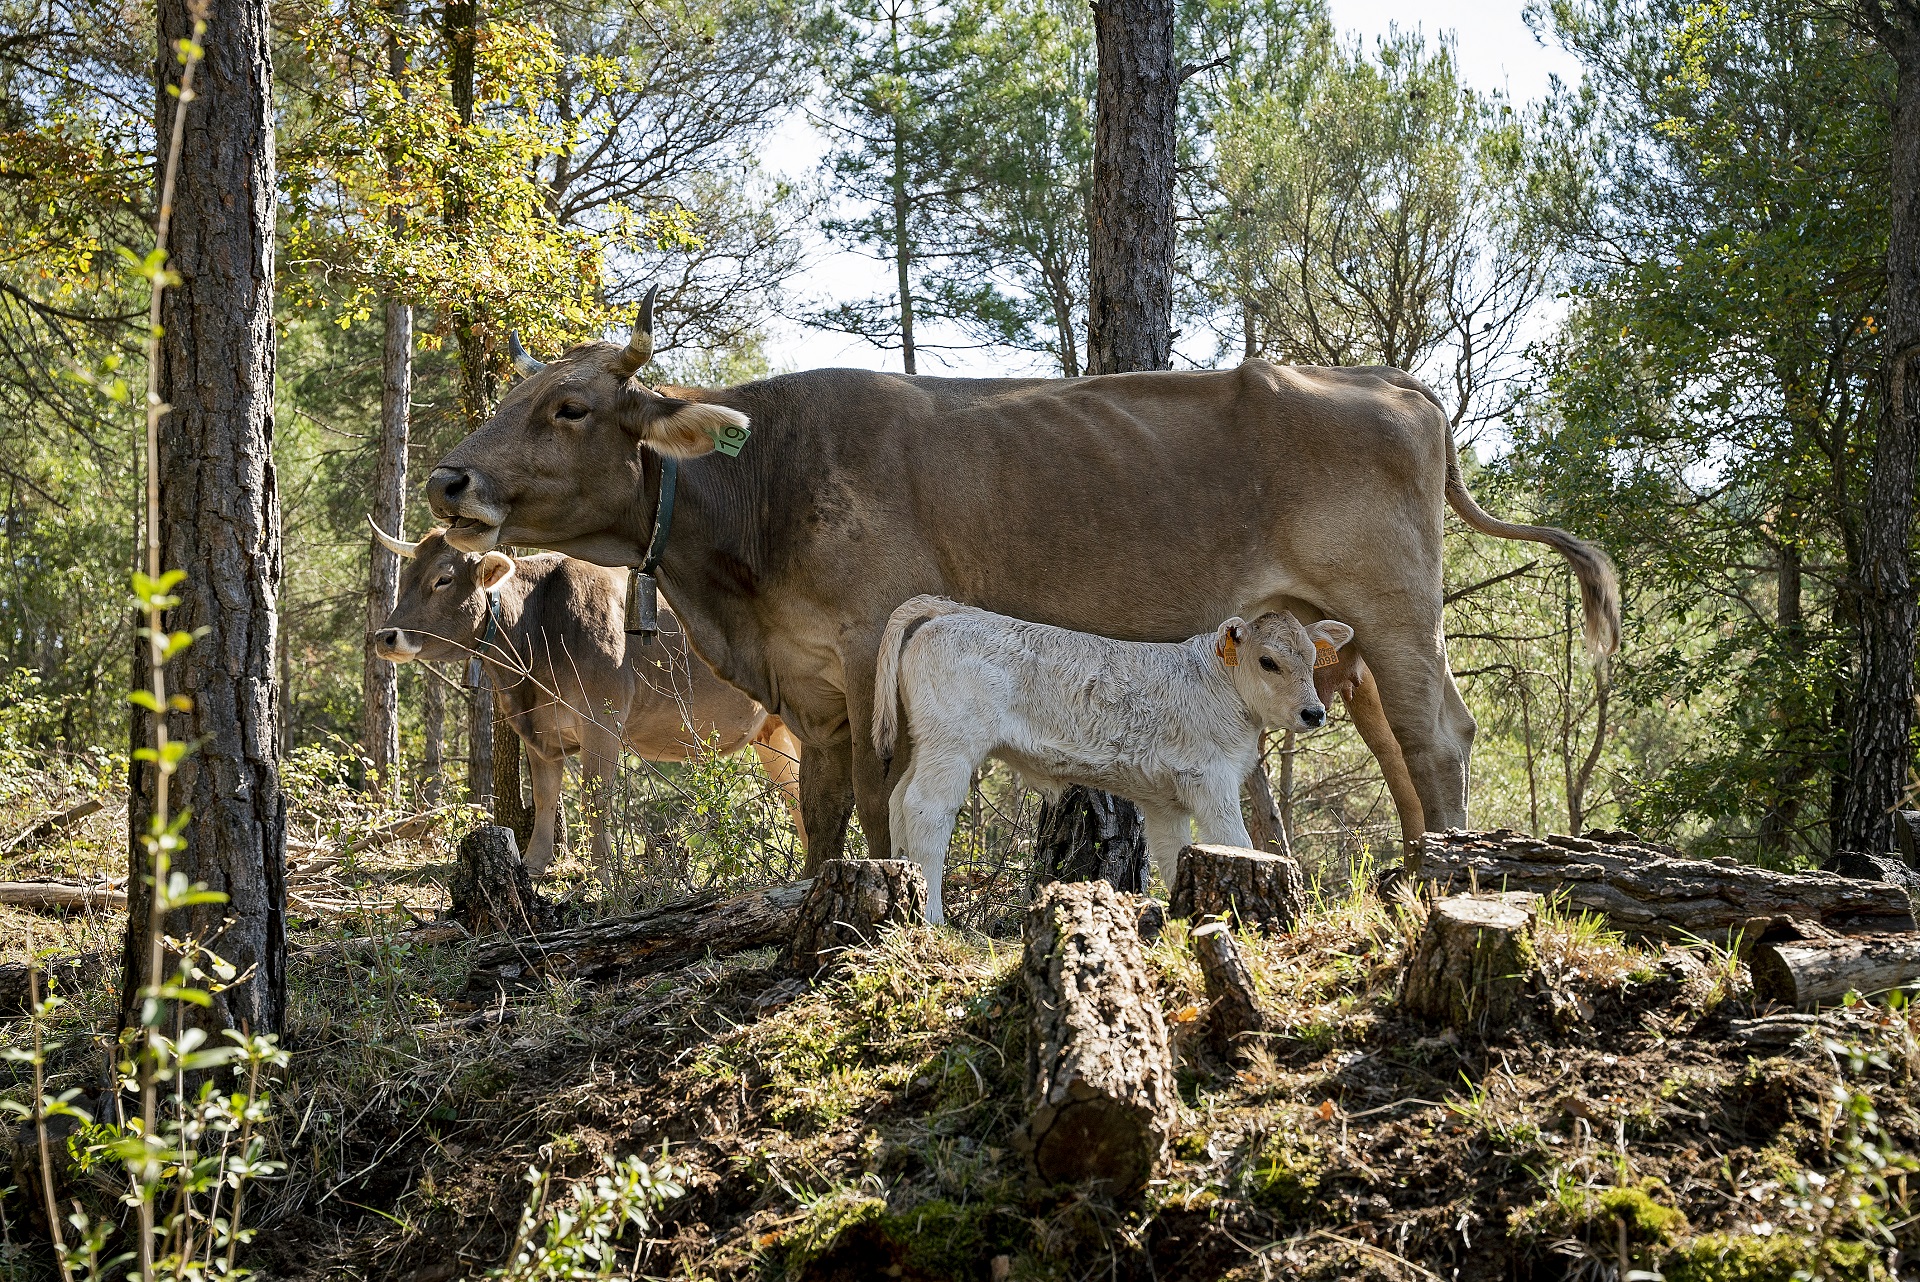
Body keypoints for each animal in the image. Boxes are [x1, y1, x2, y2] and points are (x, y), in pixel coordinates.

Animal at [428, 301, 1612, 871]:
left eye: (571, 406)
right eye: (508, 396)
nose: (448, 477)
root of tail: (1388, 379)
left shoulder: (871, 648)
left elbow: (875, 800)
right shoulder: (808, 688)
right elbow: (819, 809)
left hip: (1397, 609)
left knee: (1437, 734)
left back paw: (1448, 869)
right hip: (1346, 637)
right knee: (1390, 737)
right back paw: (1412, 868)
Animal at [871, 594, 1351, 925]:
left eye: (1312, 659)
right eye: (1268, 661)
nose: (1314, 713)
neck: (1220, 685)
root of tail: (951, 611)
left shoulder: (1165, 802)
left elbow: (1173, 856)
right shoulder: (1212, 782)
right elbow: (1237, 842)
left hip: (928, 743)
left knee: (897, 801)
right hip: (953, 744)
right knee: (927, 809)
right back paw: (931, 917)